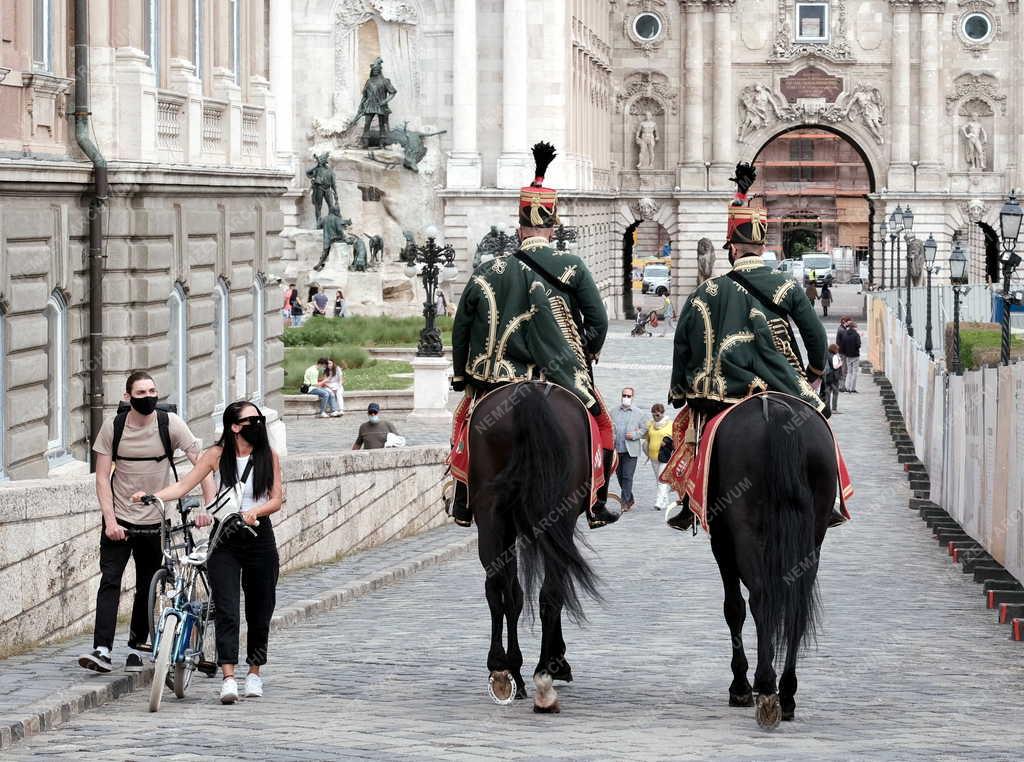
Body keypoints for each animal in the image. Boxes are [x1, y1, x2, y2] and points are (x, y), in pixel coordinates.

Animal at [468, 383, 602, 712]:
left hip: (492, 518)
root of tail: (527, 395)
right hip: (552, 515)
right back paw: (538, 672)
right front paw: (557, 659)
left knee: (502, 589)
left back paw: (508, 671)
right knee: (544, 592)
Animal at [704, 395, 839, 729]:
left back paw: (765, 687)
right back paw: (787, 692)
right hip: (813, 533)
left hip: (744, 529)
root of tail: (777, 411)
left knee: (760, 598)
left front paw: (740, 686)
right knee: (796, 604)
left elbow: (734, 608)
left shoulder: (721, 542)